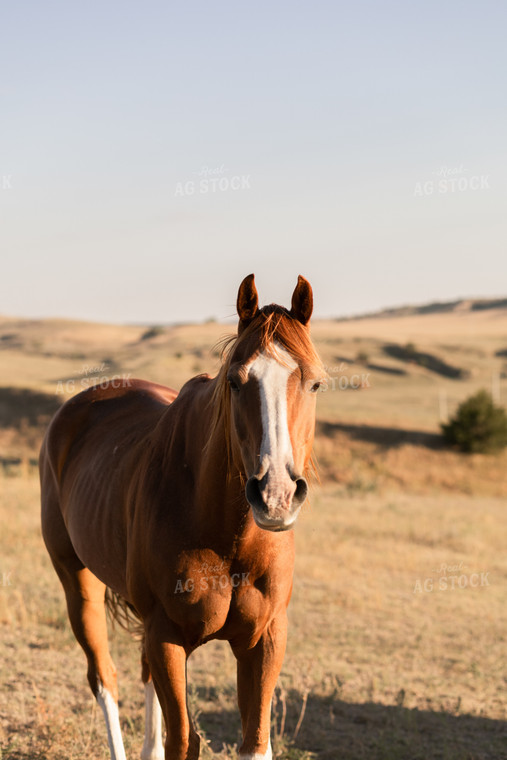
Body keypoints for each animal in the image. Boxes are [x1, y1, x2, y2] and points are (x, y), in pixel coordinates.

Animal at [39, 274, 326, 760]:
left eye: (315, 384)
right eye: (235, 381)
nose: (276, 496)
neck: (227, 533)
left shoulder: (266, 639)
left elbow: (254, 741)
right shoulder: (167, 636)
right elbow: (183, 740)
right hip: (77, 583)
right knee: (104, 678)